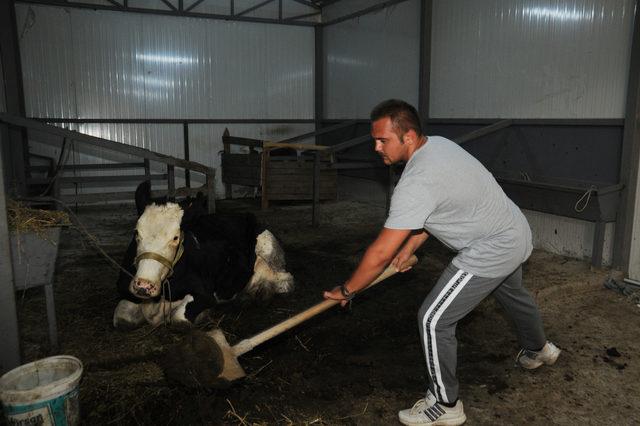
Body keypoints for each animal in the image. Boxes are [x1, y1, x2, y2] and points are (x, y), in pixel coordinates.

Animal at [114, 184, 294, 330]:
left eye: (175, 237)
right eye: (137, 233)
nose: (144, 285)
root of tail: (244, 216)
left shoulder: (205, 294)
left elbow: (179, 320)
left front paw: (204, 315)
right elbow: (121, 319)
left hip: (270, 253)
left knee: (285, 280)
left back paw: (261, 294)